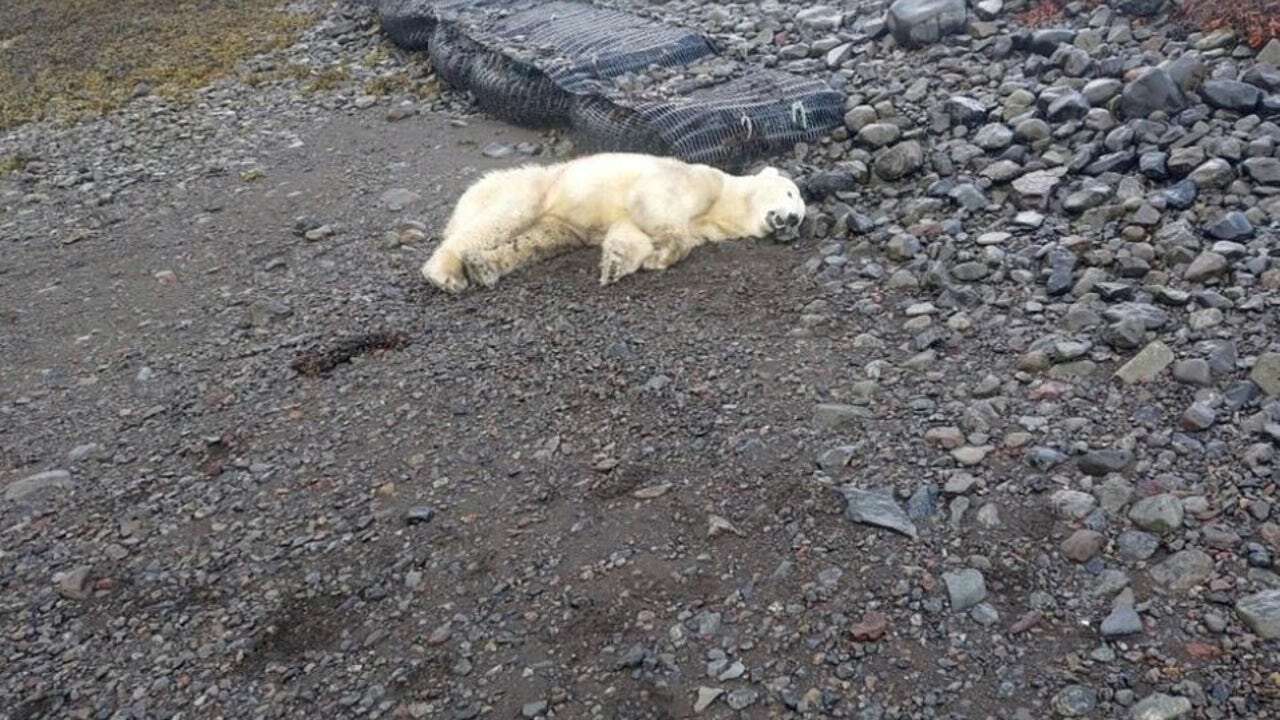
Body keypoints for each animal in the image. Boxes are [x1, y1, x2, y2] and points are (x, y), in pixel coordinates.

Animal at [419, 151, 803, 292]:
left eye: (800, 216)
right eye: (790, 193)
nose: (793, 219)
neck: (724, 204)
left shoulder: (704, 225)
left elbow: (629, 232)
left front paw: (618, 264)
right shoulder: (696, 181)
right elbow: (654, 206)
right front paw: (662, 253)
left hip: (557, 222)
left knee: (537, 241)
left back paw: (484, 267)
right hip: (532, 188)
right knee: (500, 220)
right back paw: (445, 274)